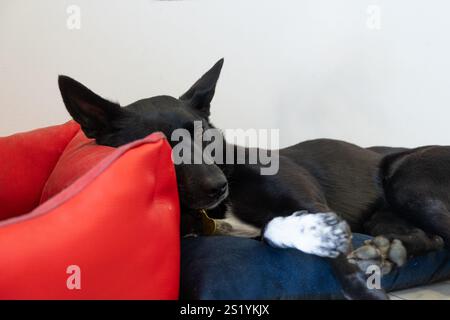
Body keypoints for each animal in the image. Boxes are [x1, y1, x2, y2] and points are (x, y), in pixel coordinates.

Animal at [59, 59, 450, 300]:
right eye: (160, 147)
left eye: (205, 136)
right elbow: (275, 231)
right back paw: (386, 249)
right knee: (430, 239)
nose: (219, 186)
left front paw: (364, 290)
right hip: (383, 215)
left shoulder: (315, 206)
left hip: (408, 181)